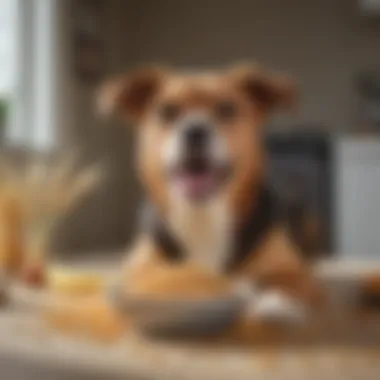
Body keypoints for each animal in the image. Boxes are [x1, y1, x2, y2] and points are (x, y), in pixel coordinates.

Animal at [98, 63, 320, 326]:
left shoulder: (293, 270)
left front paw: (278, 304)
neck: (201, 215)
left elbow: (289, 282)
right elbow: (147, 278)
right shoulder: (143, 266)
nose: (195, 131)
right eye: (167, 111)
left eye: (226, 108)